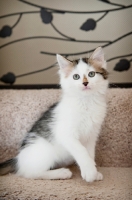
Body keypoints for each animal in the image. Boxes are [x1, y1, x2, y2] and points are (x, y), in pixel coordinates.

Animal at [0, 47, 108, 183]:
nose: (85, 83)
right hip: (44, 153)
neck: (86, 102)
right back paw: (61, 173)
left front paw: (94, 171)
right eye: (76, 76)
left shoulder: (92, 135)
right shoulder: (65, 134)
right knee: (30, 173)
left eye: (91, 74)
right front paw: (89, 172)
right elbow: (81, 150)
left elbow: (90, 153)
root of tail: (18, 159)